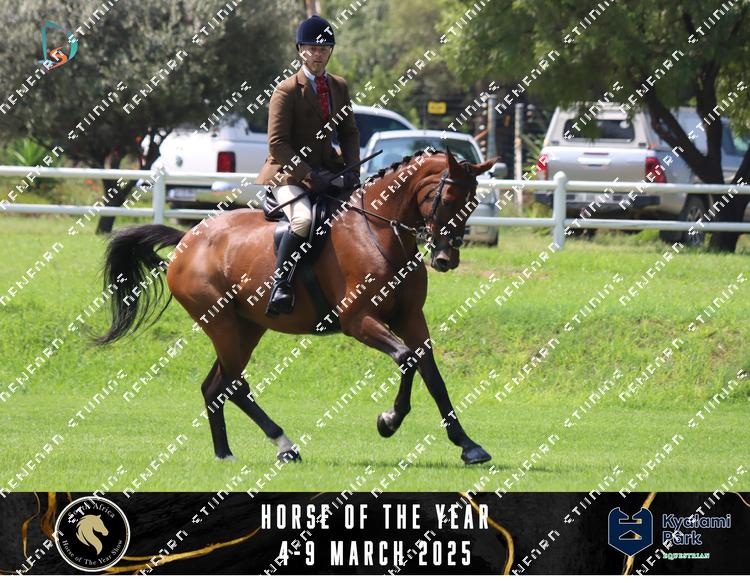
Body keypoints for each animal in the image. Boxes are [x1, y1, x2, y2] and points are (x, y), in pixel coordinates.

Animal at [94, 148, 497, 465]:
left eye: (473, 204)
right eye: (448, 199)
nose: (446, 259)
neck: (380, 233)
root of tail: (187, 239)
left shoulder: (410, 318)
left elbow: (432, 374)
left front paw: (468, 445)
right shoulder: (359, 320)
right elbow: (407, 359)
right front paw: (389, 420)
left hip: (246, 327)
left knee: (216, 386)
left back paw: (225, 452)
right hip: (221, 322)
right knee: (234, 385)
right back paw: (284, 445)